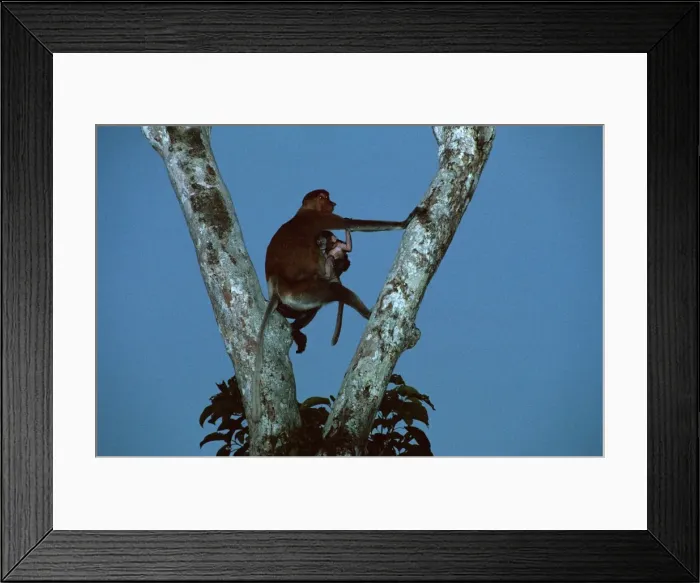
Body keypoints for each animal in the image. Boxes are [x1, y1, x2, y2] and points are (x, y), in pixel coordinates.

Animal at [249, 188, 411, 423]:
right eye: (325, 197)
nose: (333, 202)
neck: (303, 211)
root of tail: (278, 287)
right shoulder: (320, 218)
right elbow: (350, 223)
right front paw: (407, 220)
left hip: (300, 296)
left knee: (314, 307)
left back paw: (294, 328)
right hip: (304, 291)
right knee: (337, 291)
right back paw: (367, 313)